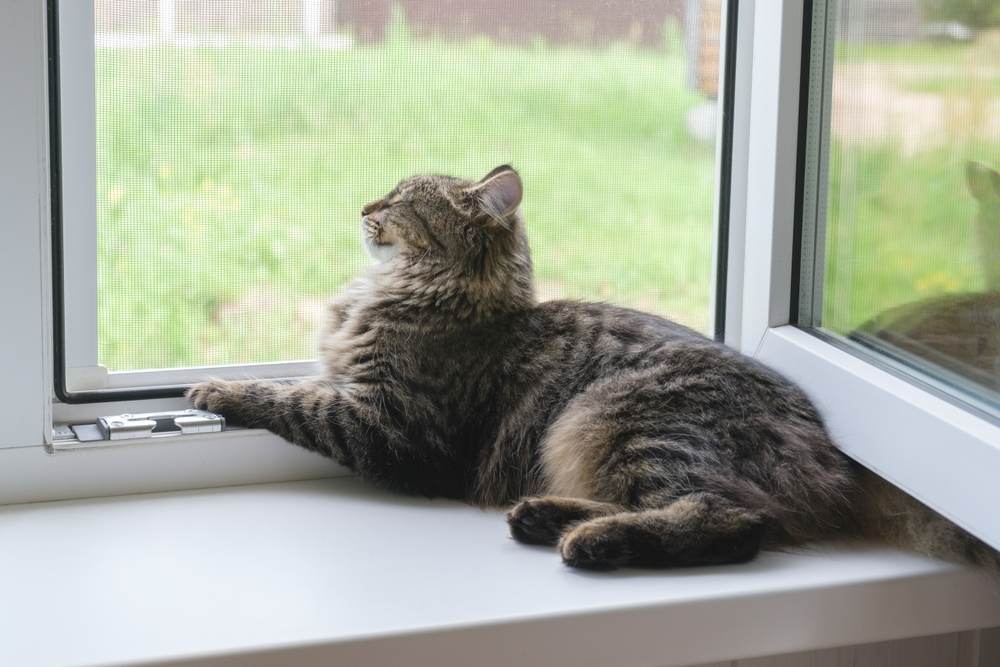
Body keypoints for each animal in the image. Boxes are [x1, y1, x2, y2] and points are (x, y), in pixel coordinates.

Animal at [189, 167, 1000, 576]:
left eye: (402, 203)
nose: (363, 206)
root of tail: (832, 457)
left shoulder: (396, 428)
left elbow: (294, 398)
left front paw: (217, 387)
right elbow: (305, 387)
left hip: (621, 416)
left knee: (731, 522)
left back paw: (590, 542)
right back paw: (546, 516)